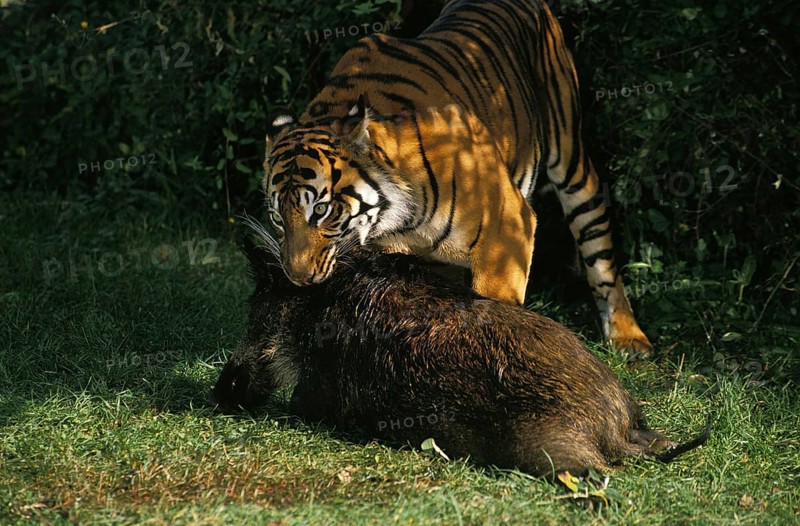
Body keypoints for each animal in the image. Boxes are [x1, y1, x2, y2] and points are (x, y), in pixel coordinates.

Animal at [261, 0, 652, 354]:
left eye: (321, 210)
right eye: (278, 217)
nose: (297, 278)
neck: (396, 221)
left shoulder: (506, 230)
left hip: (571, 157)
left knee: (598, 244)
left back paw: (628, 337)